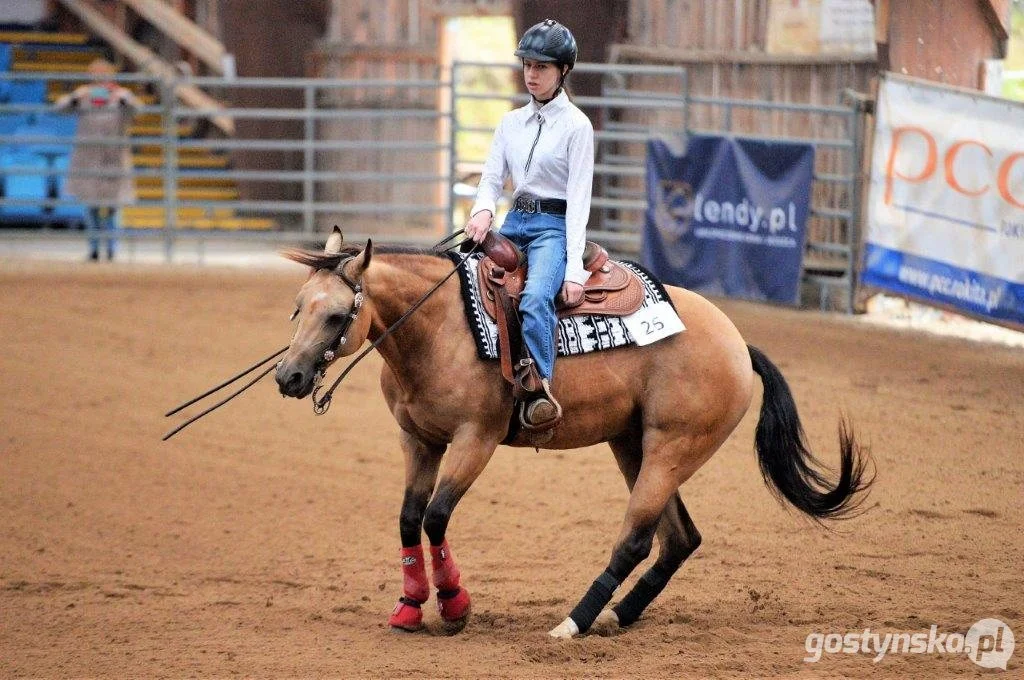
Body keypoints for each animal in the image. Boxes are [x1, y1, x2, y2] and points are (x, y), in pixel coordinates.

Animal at [274, 228, 872, 639]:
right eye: (298, 308)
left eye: (336, 317)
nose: (288, 377)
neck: (442, 325)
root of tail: (737, 343)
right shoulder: (419, 440)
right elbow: (407, 518)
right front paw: (409, 606)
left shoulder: (475, 440)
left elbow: (437, 516)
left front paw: (454, 605)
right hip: (633, 445)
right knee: (680, 538)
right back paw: (618, 616)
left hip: (672, 449)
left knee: (636, 539)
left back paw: (574, 623)